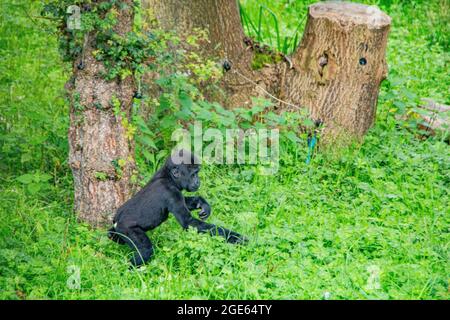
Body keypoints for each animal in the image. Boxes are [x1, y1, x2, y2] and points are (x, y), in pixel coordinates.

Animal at [107, 151, 248, 266]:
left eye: (197, 173)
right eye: (193, 174)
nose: (198, 181)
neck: (168, 176)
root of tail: (117, 220)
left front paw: (202, 203)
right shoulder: (170, 191)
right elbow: (189, 222)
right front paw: (237, 238)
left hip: (118, 229)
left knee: (114, 235)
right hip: (126, 228)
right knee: (145, 250)